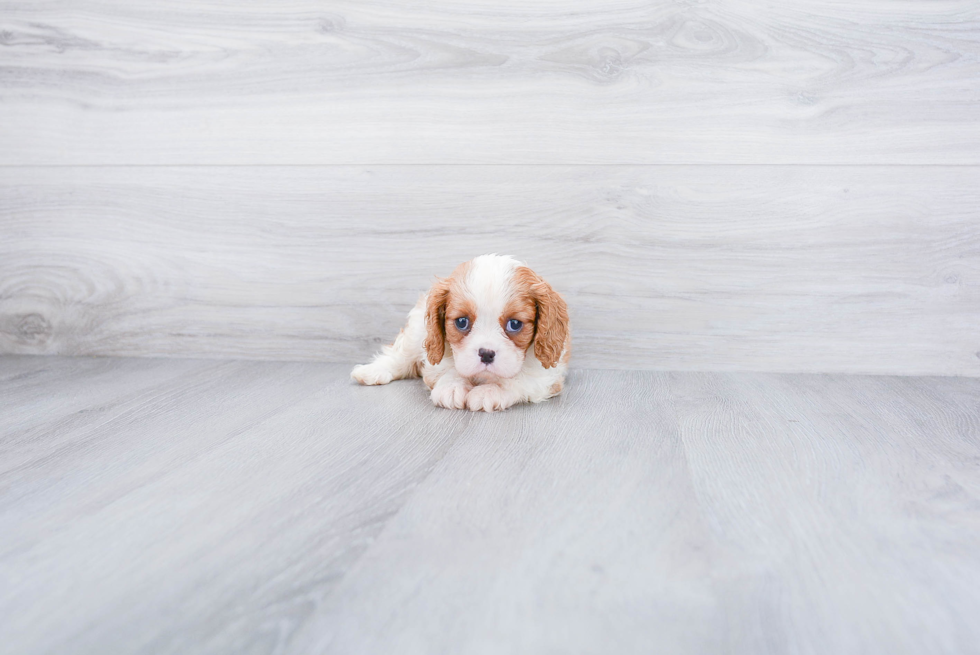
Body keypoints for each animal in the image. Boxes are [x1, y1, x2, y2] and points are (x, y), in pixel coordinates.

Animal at [350, 255, 568, 412]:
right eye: (462, 322)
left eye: (514, 324)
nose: (486, 353)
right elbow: (449, 368)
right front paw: (452, 387)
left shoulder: (547, 374)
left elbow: (519, 378)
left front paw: (490, 390)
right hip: (417, 331)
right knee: (401, 355)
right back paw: (372, 371)